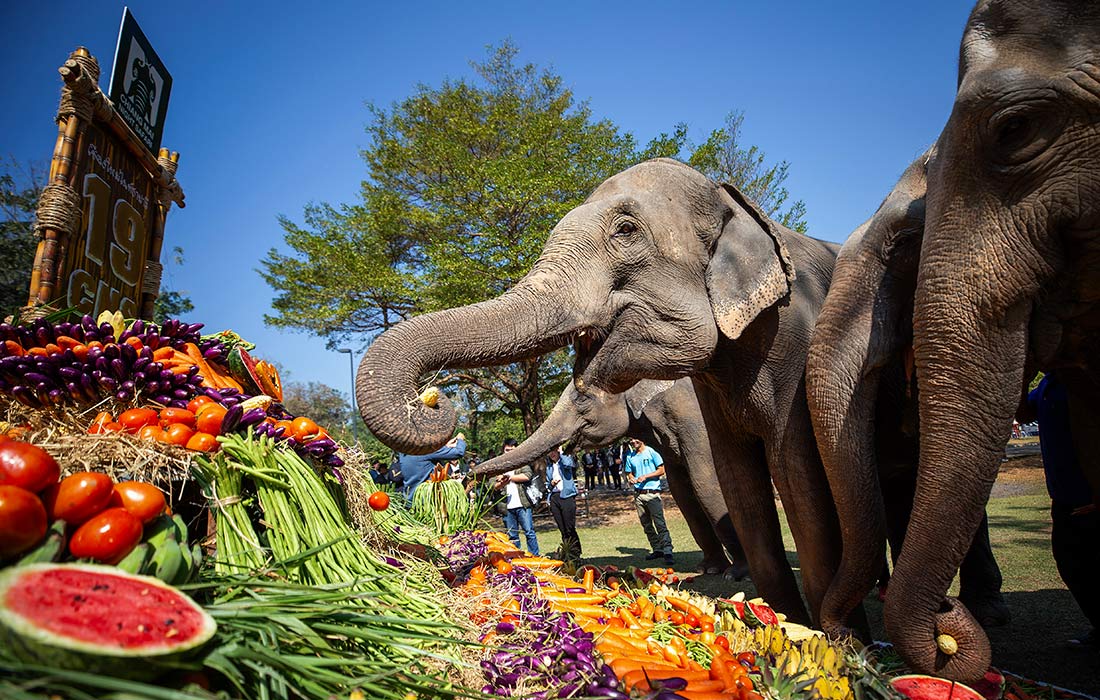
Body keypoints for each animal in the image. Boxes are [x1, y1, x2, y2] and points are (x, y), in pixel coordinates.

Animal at [473, 376, 756, 581]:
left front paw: (735, 574)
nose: (469, 476)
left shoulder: (693, 419)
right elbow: (682, 491)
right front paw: (709, 569)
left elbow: (706, 483)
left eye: (582, 399)